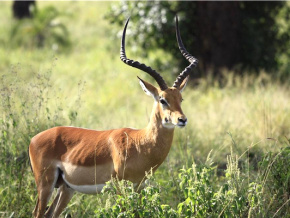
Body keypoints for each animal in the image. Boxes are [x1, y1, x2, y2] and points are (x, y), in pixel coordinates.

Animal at [28, 16, 198, 218]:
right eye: (163, 100)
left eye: (181, 98)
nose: (182, 119)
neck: (140, 142)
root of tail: (34, 139)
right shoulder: (121, 188)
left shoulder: (138, 187)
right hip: (45, 185)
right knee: (38, 213)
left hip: (66, 189)